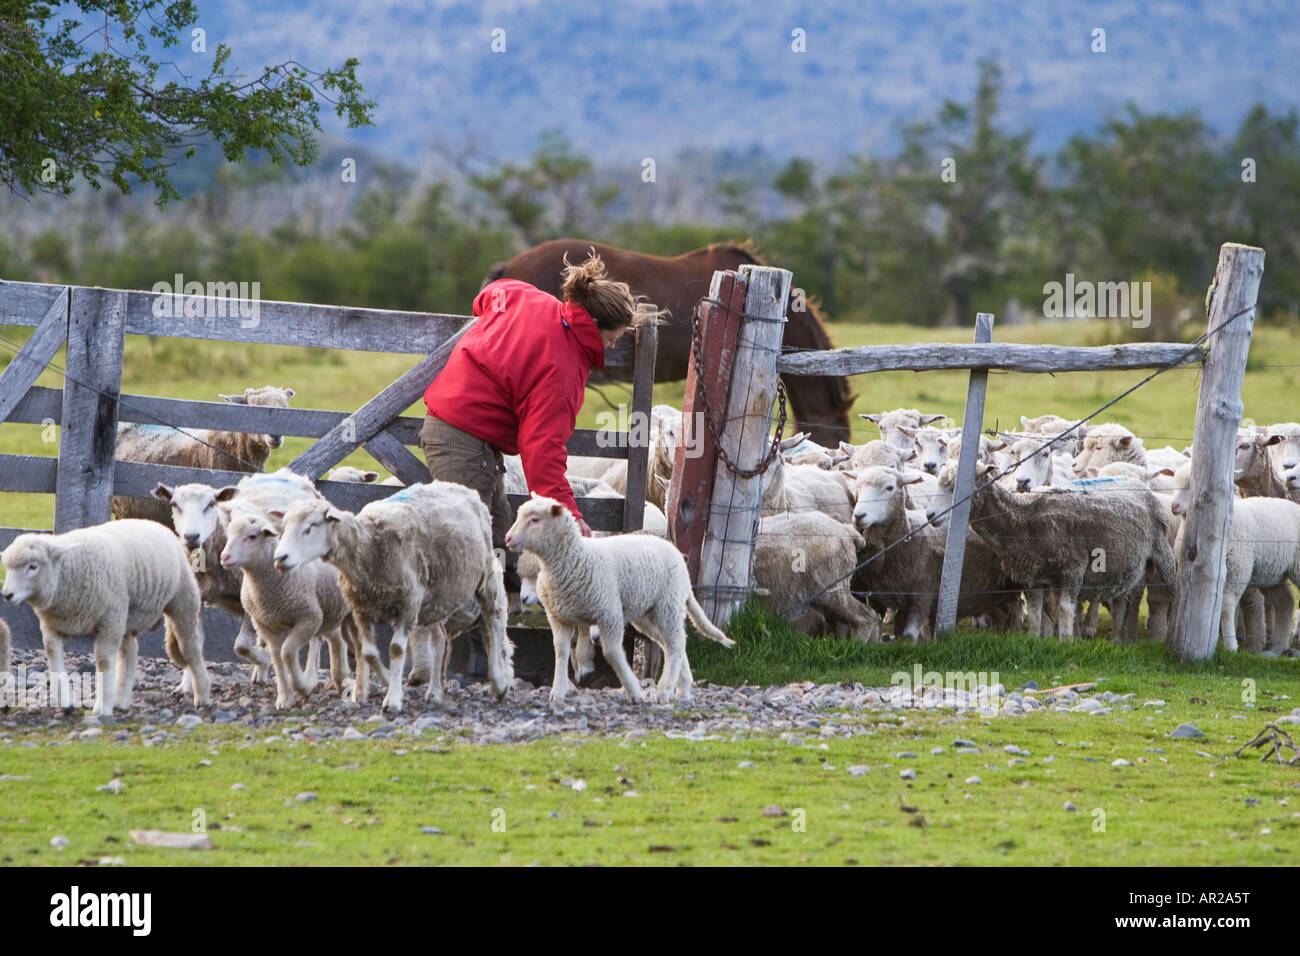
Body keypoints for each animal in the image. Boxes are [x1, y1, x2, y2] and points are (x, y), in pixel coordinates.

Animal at [1, 520, 208, 712]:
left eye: (32, 567)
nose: (6, 595)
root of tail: (156, 524)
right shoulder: (53, 626)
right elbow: (53, 657)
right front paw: (66, 702)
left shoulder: (109, 623)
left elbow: (104, 662)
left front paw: (102, 707)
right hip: (126, 617)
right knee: (130, 652)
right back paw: (121, 701)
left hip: (182, 603)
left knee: (191, 649)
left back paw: (202, 696)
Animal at [504, 496, 738, 707]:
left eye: (534, 519)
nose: (507, 539)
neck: (575, 557)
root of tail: (677, 554)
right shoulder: (559, 618)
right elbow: (561, 651)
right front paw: (558, 691)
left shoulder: (610, 615)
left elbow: (612, 653)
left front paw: (633, 690)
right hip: (648, 614)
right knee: (670, 642)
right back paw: (683, 687)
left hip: (668, 605)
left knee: (676, 643)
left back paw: (665, 690)